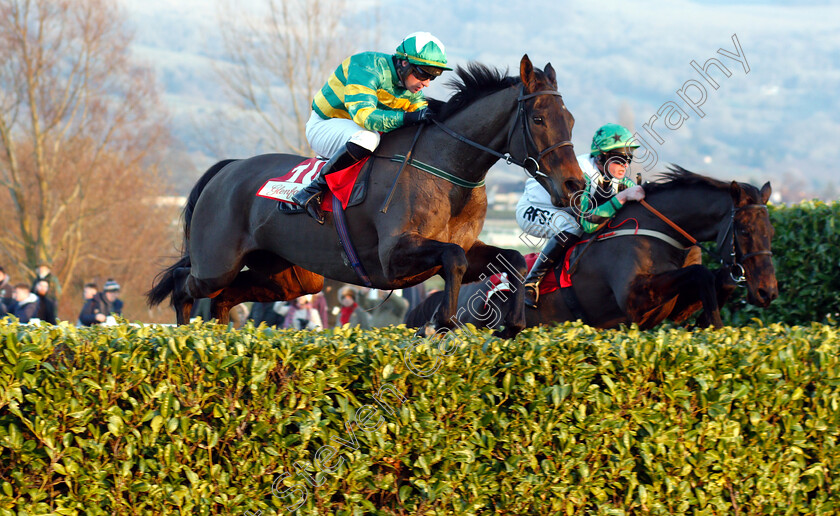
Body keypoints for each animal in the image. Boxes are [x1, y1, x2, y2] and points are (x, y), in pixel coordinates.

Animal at [149, 55, 584, 338]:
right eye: (539, 119)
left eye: (570, 119)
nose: (574, 186)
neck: (447, 169)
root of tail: (227, 168)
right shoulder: (394, 256)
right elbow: (453, 260)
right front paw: (443, 321)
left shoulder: (465, 244)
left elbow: (511, 260)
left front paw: (513, 322)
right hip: (217, 262)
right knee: (185, 286)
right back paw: (186, 339)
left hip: (289, 279)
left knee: (224, 300)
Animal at [404, 167, 776, 332]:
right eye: (744, 229)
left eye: (771, 231)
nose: (767, 291)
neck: (660, 232)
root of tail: (468, 293)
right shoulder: (636, 300)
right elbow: (699, 273)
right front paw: (714, 322)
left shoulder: (668, 309)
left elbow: (711, 280)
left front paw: (711, 318)